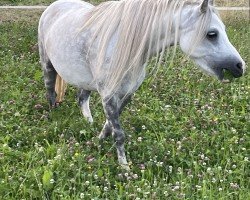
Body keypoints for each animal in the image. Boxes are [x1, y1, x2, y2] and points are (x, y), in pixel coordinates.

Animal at [39, 0, 246, 169]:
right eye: (212, 34)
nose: (240, 66)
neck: (124, 45)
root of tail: (53, 6)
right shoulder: (109, 94)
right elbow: (119, 133)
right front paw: (125, 169)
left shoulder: (126, 93)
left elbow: (110, 125)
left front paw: (99, 141)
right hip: (47, 65)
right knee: (50, 90)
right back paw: (53, 114)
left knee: (82, 98)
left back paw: (88, 123)